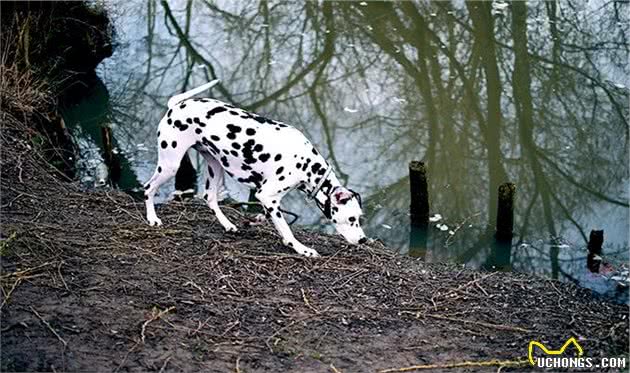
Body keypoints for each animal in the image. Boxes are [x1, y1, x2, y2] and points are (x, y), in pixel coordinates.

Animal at [144, 81, 368, 256]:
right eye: (351, 219)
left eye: (360, 217)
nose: (363, 240)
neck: (305, 164)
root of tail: (176, 106)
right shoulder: (267, 196)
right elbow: (286, 229)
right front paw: (301, 248)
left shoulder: (267, 198)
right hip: (170, 165)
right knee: (148, 188)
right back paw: (152, 219)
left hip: (215, 166)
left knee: (210, 198)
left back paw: (227, 224)